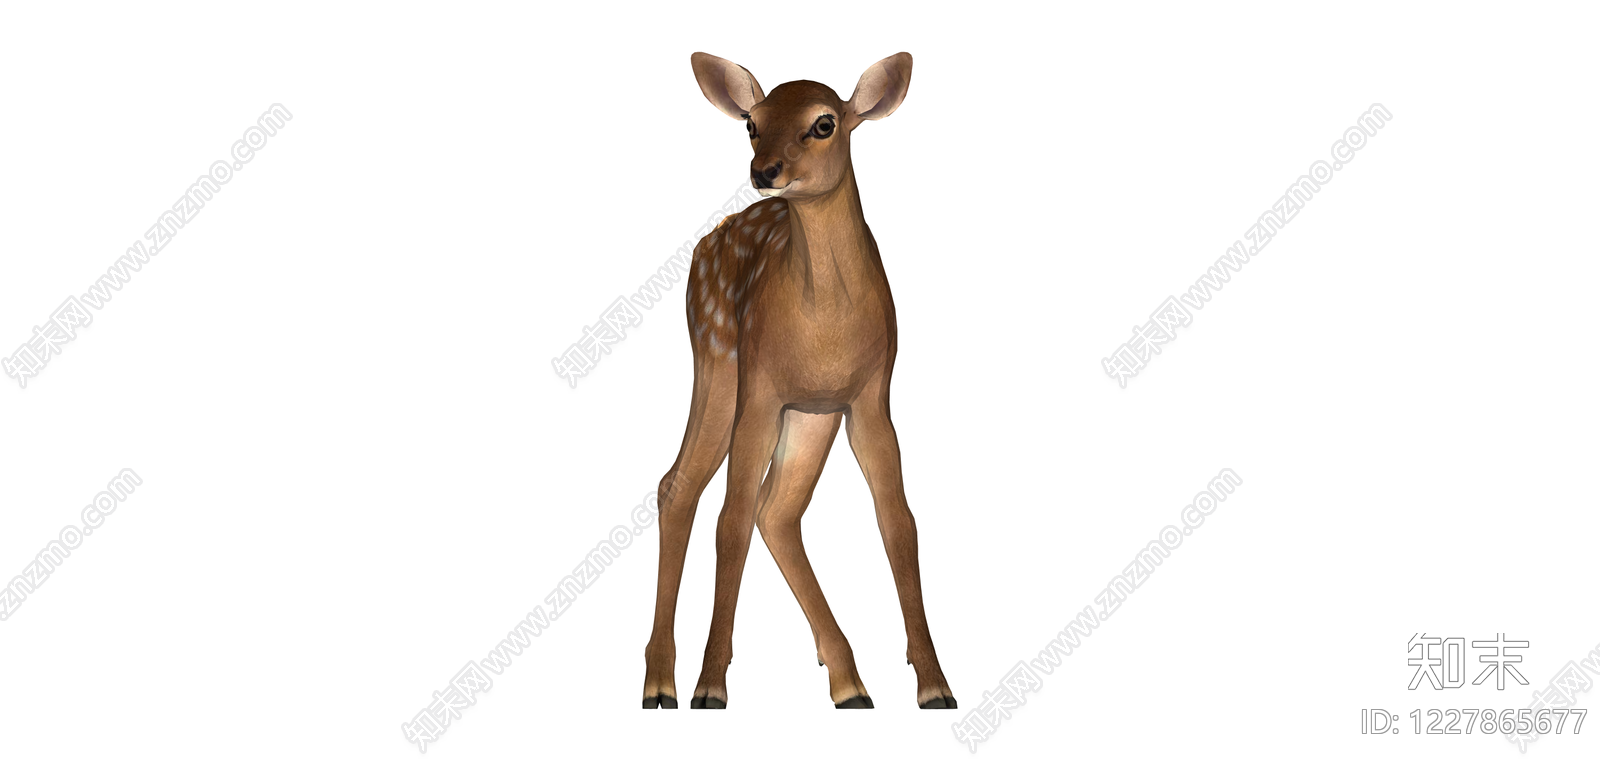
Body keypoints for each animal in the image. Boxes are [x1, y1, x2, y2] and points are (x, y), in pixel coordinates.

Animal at [640, 52, 956, 711]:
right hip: (718, 360)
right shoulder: (761, 390)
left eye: (824, 123)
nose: (764, 170)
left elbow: (899, 523)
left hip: (810, 415)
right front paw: (711, 688)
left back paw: (849, 682)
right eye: (751, 123)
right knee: (682, 488)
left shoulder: (871, 398)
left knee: (777, 510)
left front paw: (936, 686)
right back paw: (661, 684)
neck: (826, 328)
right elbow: (729, 522)